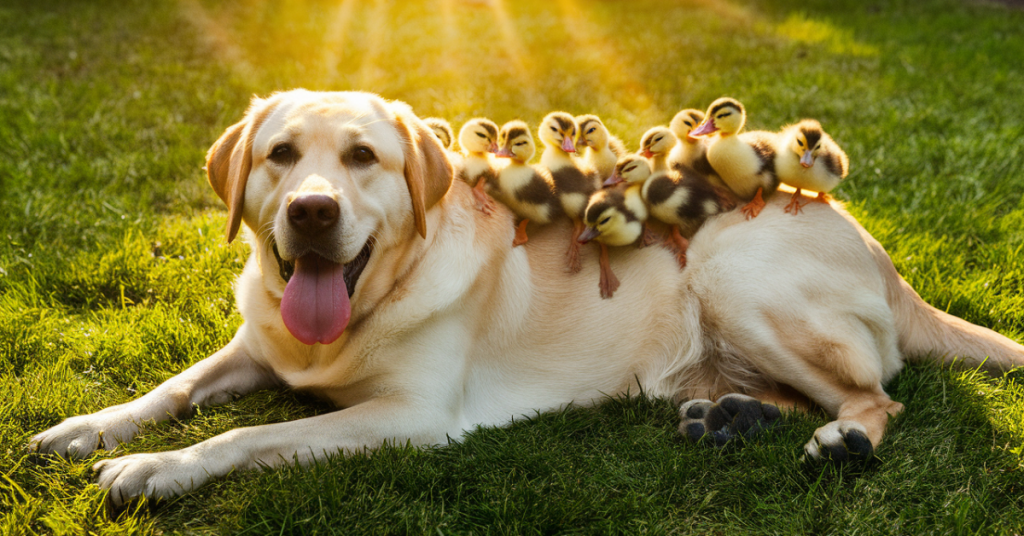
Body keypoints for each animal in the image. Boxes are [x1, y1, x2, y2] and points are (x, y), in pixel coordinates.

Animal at [29, 89, 1024, 508]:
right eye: (280, 156)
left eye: (362, 158)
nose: (312, 212)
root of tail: (883, 252)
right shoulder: (254, 345)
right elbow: (176, 388)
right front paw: (92, 428)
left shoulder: (410, 417)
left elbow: (247, 435)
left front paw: (157, 470)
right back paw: (730, 417)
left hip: (733, 272)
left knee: (876, 394)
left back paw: (842, 437)